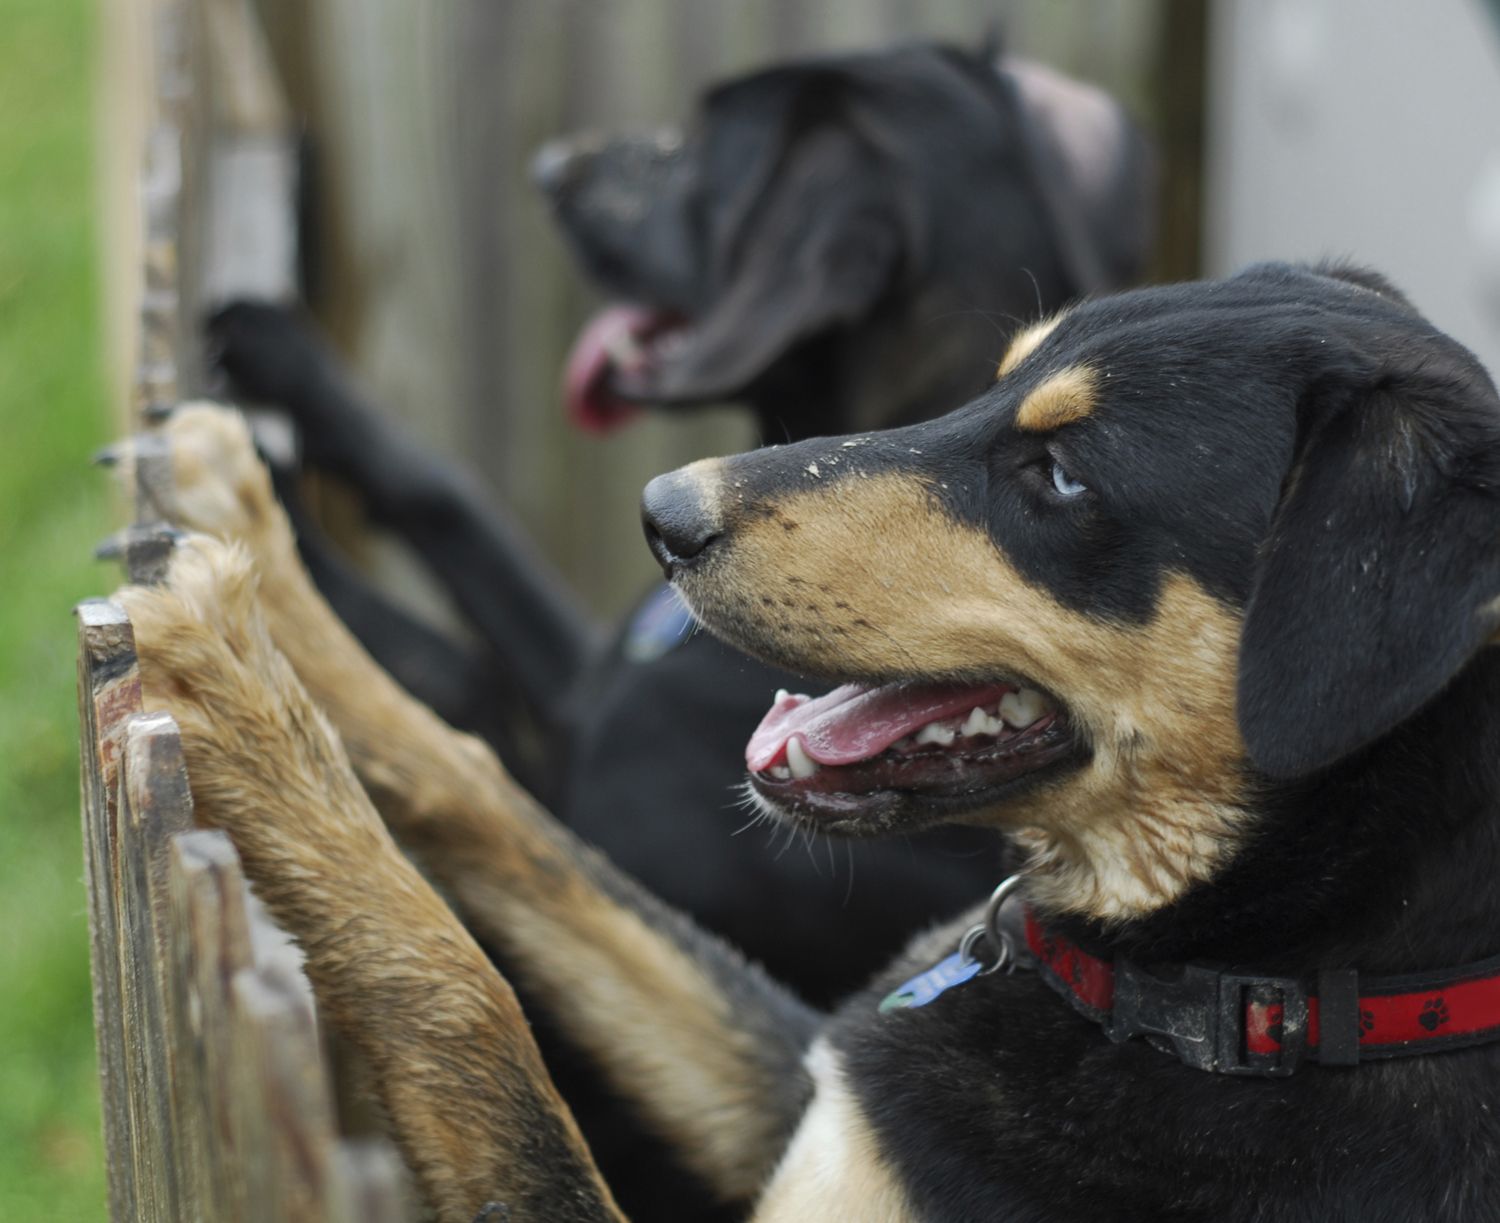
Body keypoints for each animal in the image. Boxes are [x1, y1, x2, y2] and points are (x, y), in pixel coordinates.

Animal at [108, 262, 1500, 1218]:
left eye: (1060, 473)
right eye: (994, 379)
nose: (663, 515)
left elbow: (467, 1002)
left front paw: (234, 680)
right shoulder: (802, 1087)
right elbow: (502, 805)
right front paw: (256, 551)